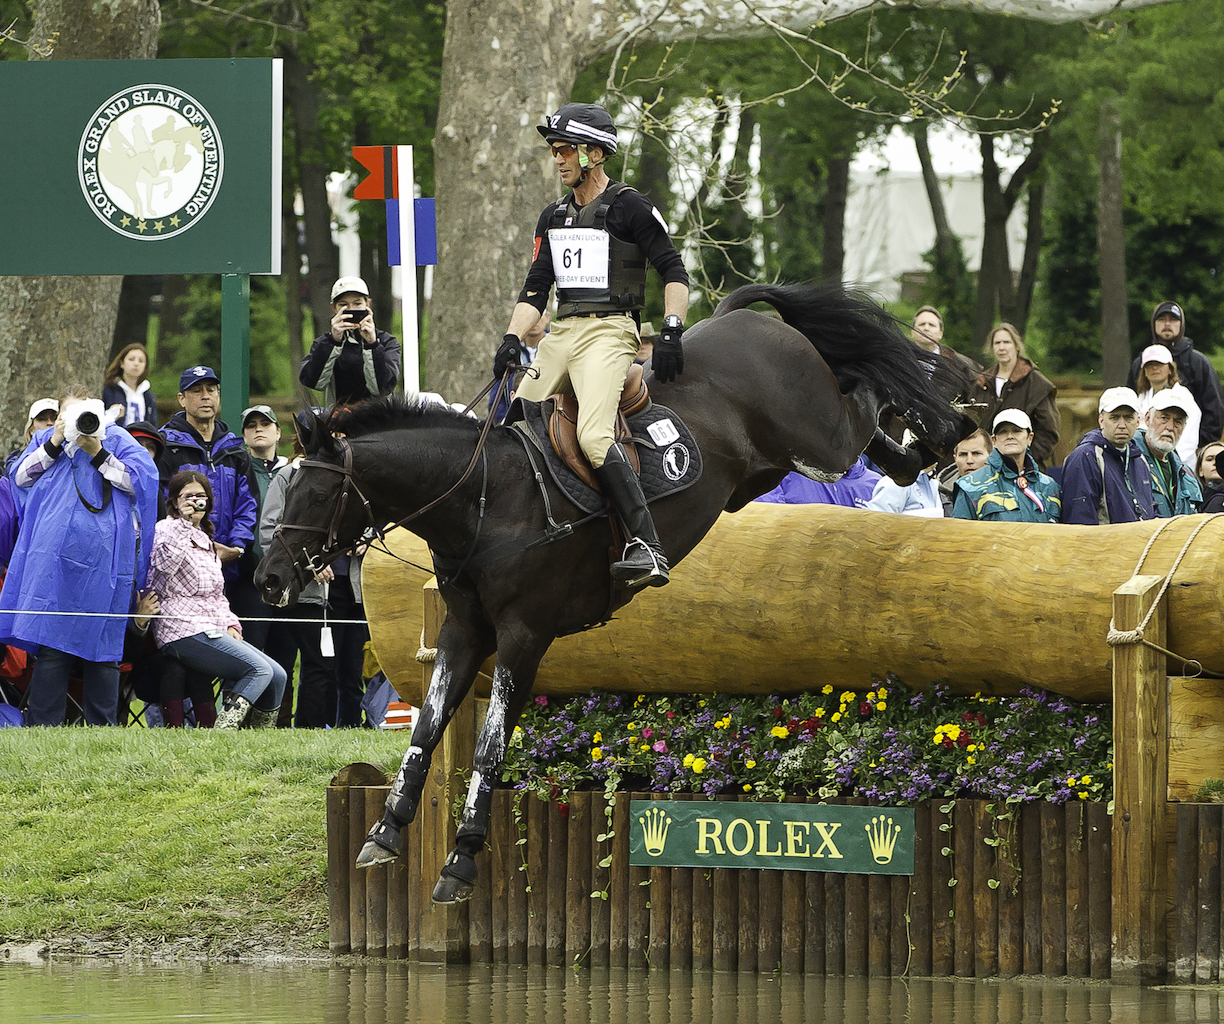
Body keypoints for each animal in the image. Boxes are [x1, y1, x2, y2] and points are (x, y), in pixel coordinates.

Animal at [253, 280, 969, 905]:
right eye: (283, 484)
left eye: (316, 492)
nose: (269, 580)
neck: (485, 498)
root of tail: (742, 319)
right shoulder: (461, 630)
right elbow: (427, 729)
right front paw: (386, 830)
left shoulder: (524, 634)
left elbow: (488, 743)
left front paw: (459, 859)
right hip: (772, 466)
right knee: (865, 421)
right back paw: (920, 450)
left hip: (813, 435)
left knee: (864, 394)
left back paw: (936, 427)